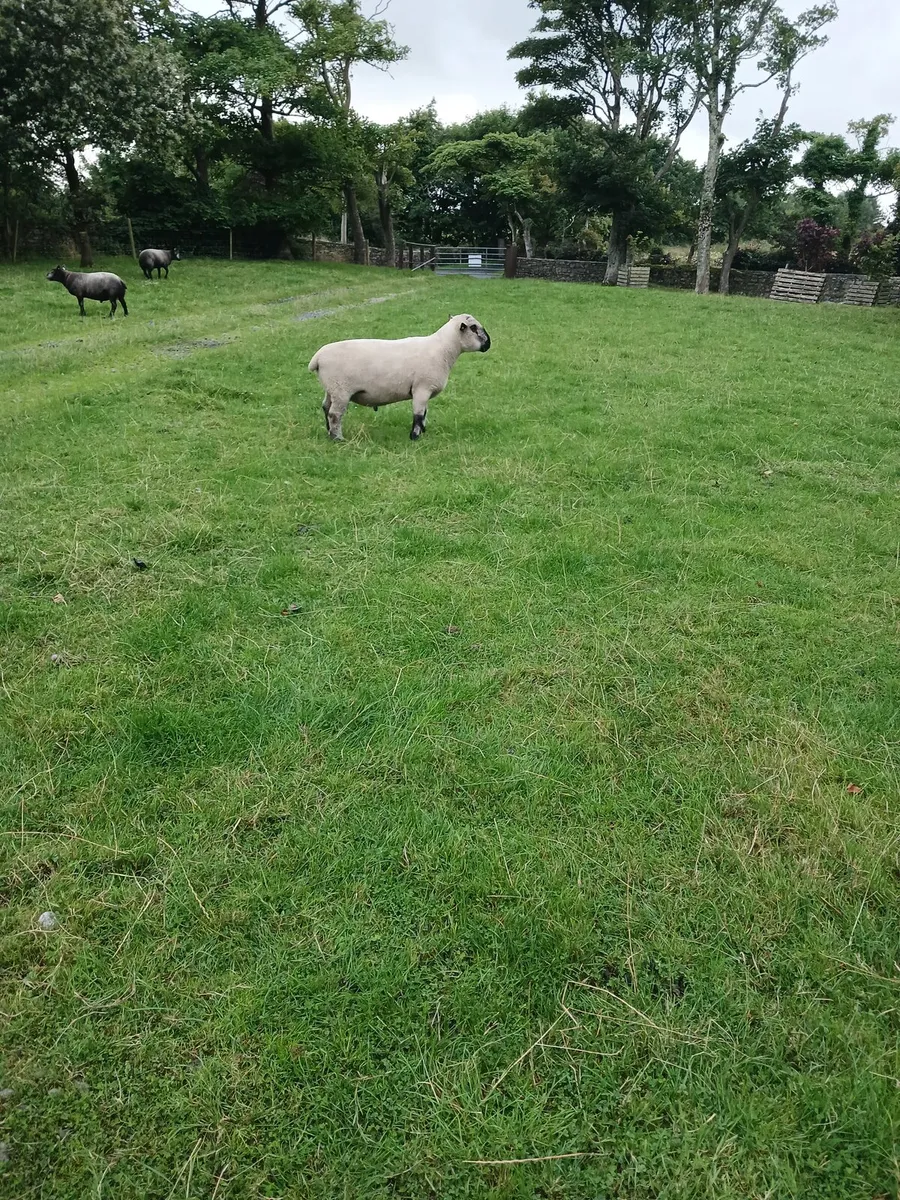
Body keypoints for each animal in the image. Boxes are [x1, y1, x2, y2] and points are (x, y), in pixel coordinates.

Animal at [308, 314, 491, 442]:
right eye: (474, 328)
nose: (489, 344)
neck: (444, 349)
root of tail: (317, 359)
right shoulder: (422, 388)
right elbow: (418, 415)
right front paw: (415, 437)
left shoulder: (425, 391)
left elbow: (424, 413)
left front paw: (423, 432)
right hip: (341, 390)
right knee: (335, 414)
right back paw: (338, 438)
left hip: (332, 389)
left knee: (326, 407)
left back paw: (329, 433)